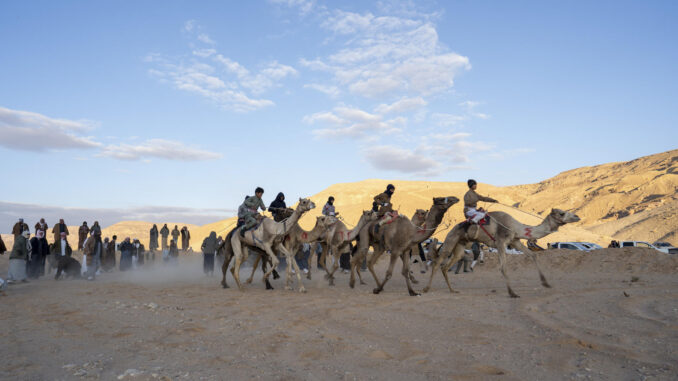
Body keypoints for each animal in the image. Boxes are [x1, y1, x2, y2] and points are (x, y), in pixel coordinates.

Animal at [422, 208, 580, 296]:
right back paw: (426, 288)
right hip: (451, 240)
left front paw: (546, 283)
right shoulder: (500, 242)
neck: (516, 228)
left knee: (446, 265)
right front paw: (512, 293)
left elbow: (533, 255)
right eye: (562, 213)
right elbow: (503, 268)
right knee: (437, 263)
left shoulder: (515, 242)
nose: (577, 217)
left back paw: (452, 290)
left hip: (459, 246)